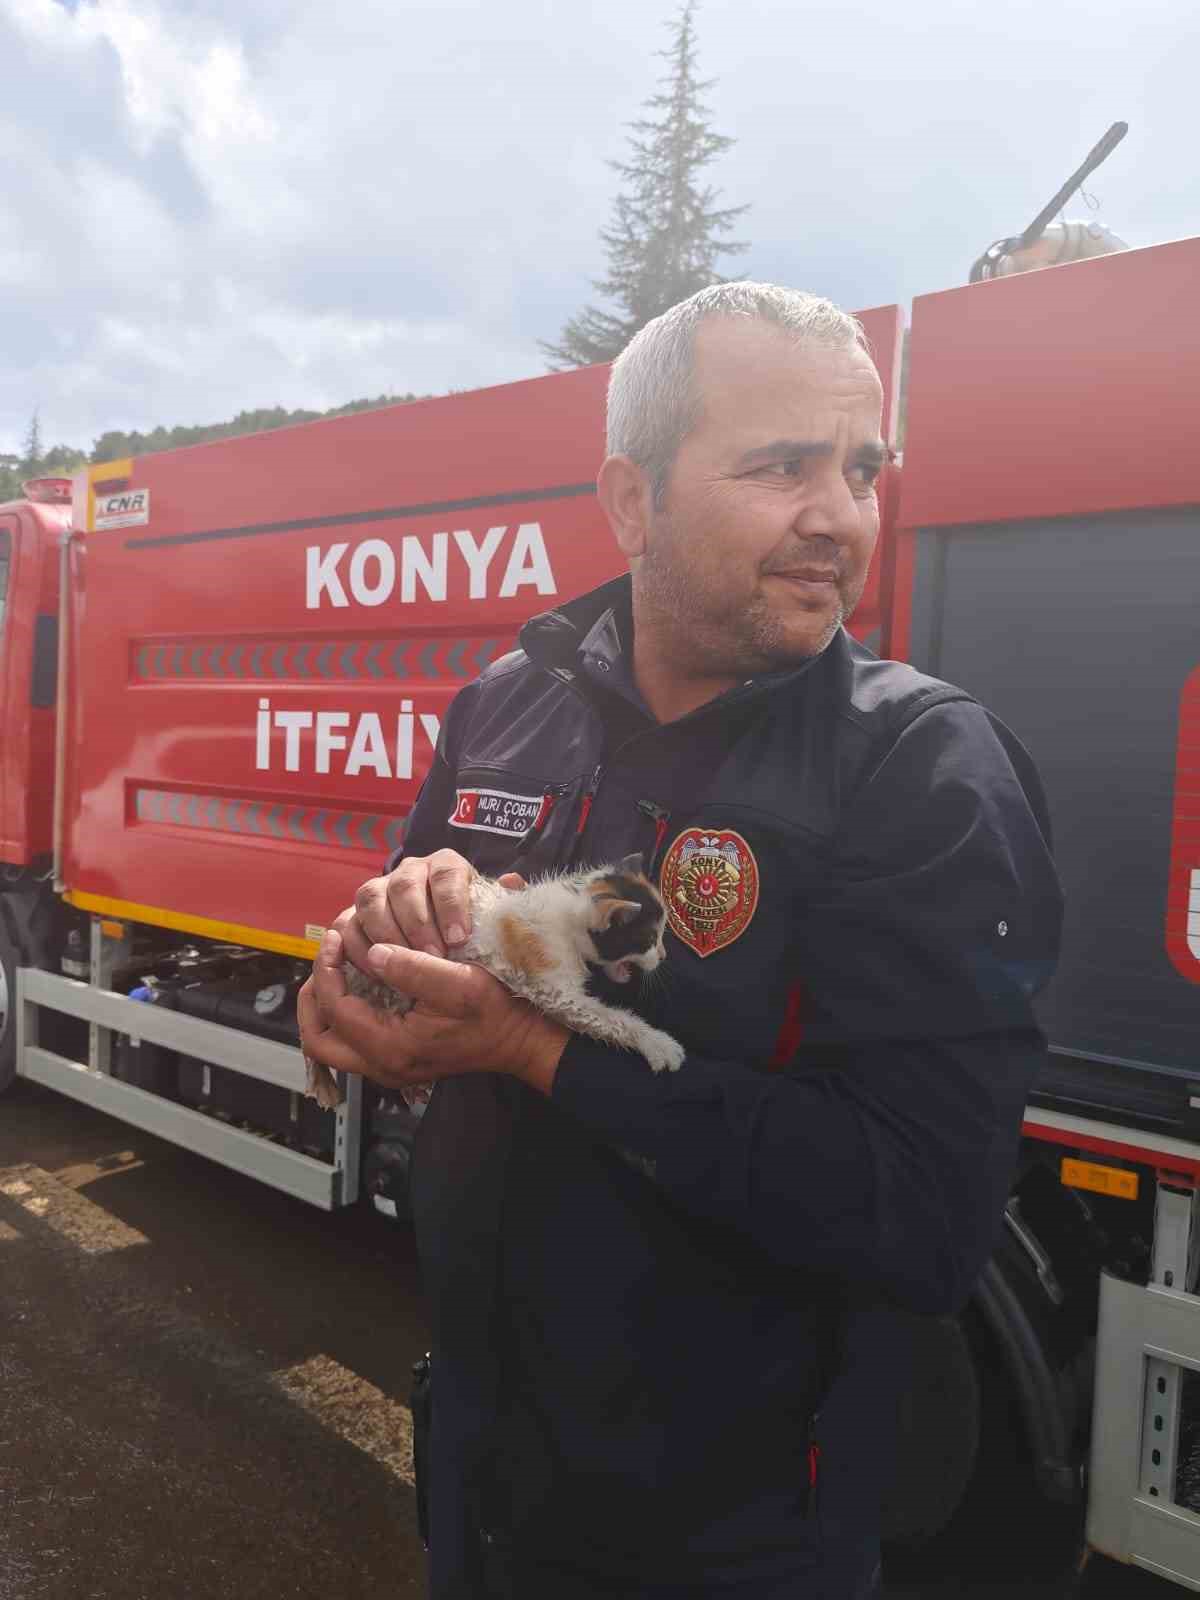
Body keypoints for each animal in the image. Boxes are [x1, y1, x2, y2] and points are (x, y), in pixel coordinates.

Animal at [305, 857, 684, 1107]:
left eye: (660, 935)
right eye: (648, 939)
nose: (665, 955)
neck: (570, 912)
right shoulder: (551, 987)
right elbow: (611, 1020)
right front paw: (657, 1043)